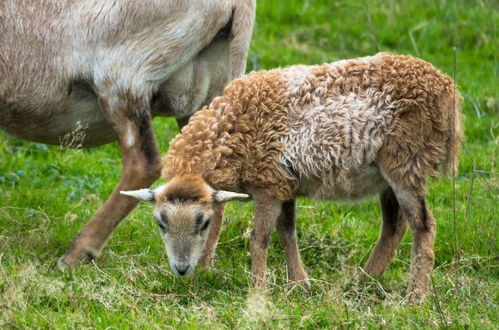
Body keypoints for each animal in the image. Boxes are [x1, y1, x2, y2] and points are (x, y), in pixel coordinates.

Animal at [0, 0, 256, 268]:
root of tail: (235, 5)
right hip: (212, 93)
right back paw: (202, 266)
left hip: (125, 76)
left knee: (144, 163)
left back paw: (77, 253)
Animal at [122, 52, 464, 302]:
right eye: (160, 223)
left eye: (203, 223)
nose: (181, 270)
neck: (230, 131)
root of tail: (448, 91)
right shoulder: (282, 183)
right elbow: (287, 233)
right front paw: (298, 284)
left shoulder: (268, 186)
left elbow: (259, 239)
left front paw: (257, 291)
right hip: (388, 174)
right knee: (394, 226)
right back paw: (362, 281)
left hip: (405, 163)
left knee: (423, 225)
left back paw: (414, 297)